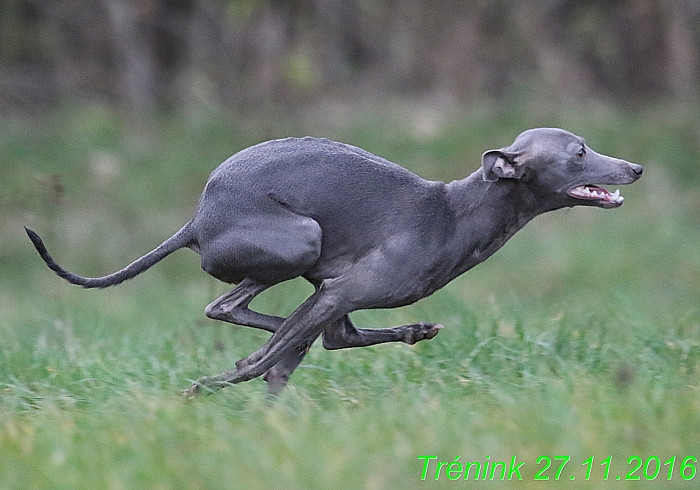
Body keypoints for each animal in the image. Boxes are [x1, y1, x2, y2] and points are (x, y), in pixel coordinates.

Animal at [26, 128, 640, 396]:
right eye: (579, 151)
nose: (634, 167)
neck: (455, 213)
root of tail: (198, 219)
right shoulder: (343, 290)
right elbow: (265, 364)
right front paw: (208, 387)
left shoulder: (336, 291)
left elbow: (317, 346)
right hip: (300, 239)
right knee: (232, 309)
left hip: (310, 268)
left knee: (287, 328)